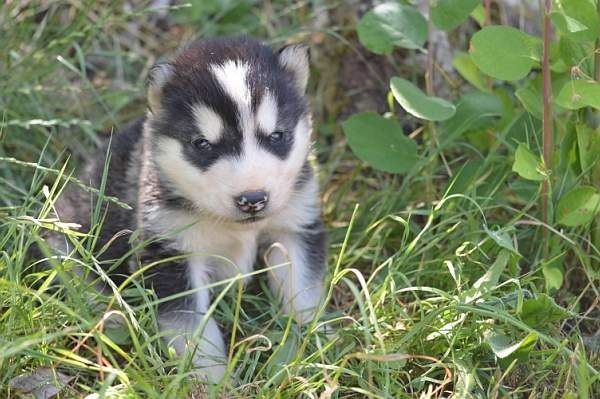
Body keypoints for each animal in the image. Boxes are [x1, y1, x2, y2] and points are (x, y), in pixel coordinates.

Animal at [53, 37, 326, 382]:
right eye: (202, 144)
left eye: (277, 136)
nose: (252, 198)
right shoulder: (170, 252)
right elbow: (192, 329)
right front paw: (212, 381)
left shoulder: (294, 227)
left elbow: (302, 291)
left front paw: (315, 345)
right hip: (69, 241)